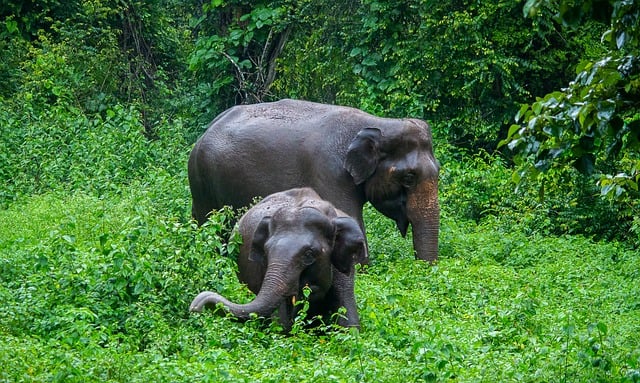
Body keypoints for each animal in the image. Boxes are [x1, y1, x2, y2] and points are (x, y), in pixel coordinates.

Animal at [189, 98, 440, 264]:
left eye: (438, 171)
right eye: (409, 177)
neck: (376, 123)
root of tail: (204, 133)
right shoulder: (329, 173)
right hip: (203, 182)